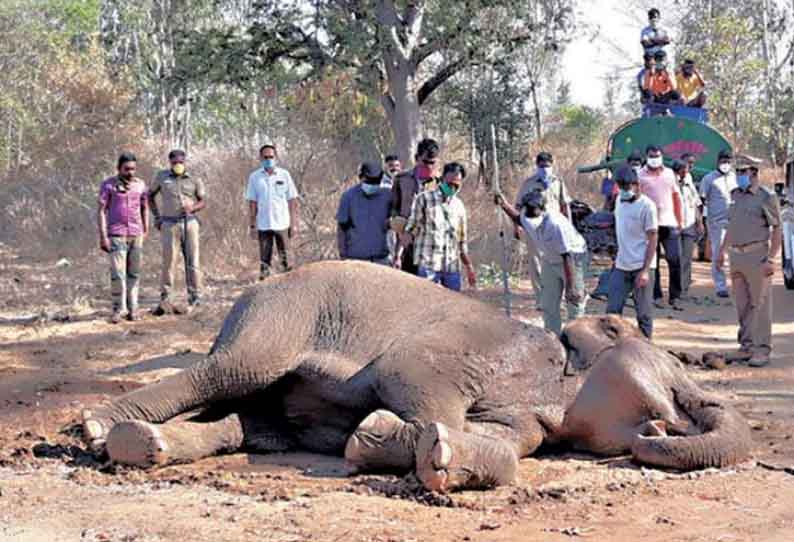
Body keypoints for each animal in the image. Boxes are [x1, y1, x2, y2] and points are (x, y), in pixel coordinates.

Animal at [80, 262, 748, 496]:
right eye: (680, 388)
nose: (660, 430)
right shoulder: (475, 346)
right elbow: (415, 377)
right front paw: (417, 443)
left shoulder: (529, 419)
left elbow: (510, 446)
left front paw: (375, 440)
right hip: (278, 313)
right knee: (229, 371)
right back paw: (99, 430)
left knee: (251, 425)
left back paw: (146, 445)